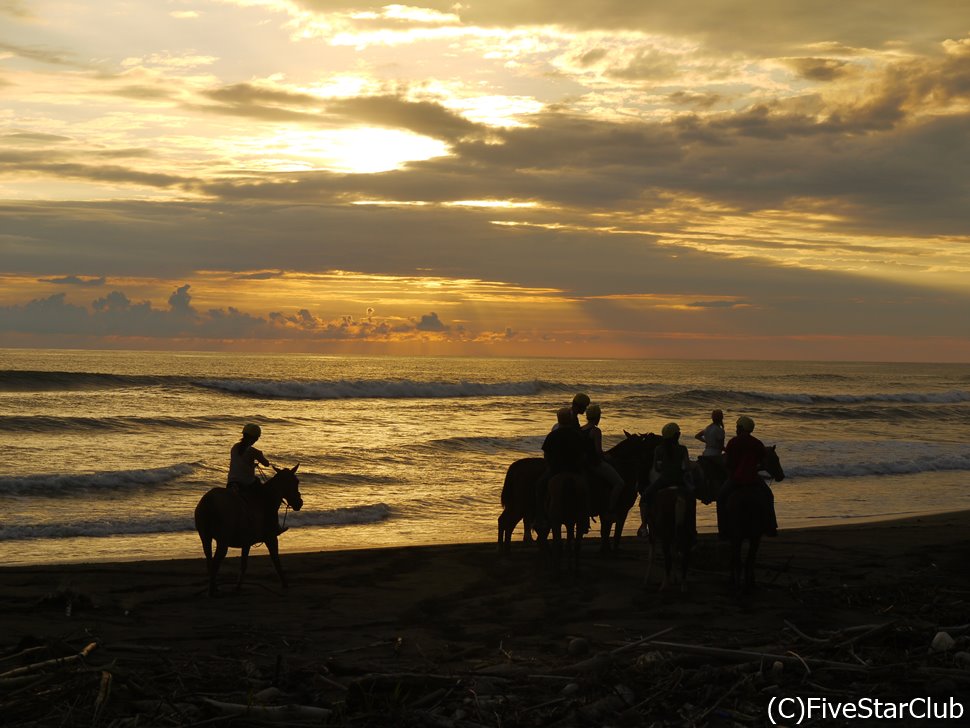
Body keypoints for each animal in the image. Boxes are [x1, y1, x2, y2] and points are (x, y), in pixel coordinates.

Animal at [193, 466, 302, 596]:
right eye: (296, 482)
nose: (299, 503)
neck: (266, 499)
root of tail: (209, 502)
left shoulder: (246, 542)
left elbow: (243, 564)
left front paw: (238, 587)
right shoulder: (271, 538)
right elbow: (276, 560)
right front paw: (285, 584)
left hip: (205, 538)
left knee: (209, 562)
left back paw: (214, 588)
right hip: (222, 542)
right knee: (214, 564)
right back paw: (211, 592)